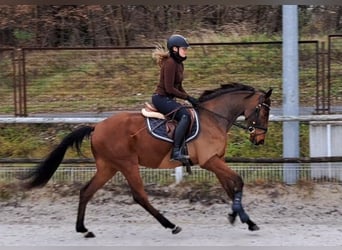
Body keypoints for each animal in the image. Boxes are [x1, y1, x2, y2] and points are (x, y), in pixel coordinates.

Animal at [20, 82, 272, 238]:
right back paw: (171, 225)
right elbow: (238, 181)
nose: (260, 139)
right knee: (139, 196)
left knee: (86, 191)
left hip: (108, 167)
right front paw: (243, 218)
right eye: (263, 111)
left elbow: (231, 187)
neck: (213, 118)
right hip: (128, 165)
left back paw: (83, 229)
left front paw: (240, 217)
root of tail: (96, 126)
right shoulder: (210, 161)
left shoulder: (216, 160)